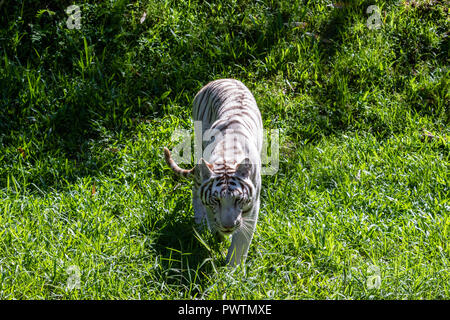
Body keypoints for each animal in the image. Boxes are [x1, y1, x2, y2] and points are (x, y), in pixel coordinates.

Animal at [163, 79, 262, 266]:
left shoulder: (252, 207)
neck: (228, 158)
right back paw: (200, 225)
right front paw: (217, 238)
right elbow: (213, 219)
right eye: (216, 200)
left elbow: (241, 242)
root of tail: (222, 79)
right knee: (195, 191)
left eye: (238, 199)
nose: (229, 226)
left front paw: (233, 269)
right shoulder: (210, 203)